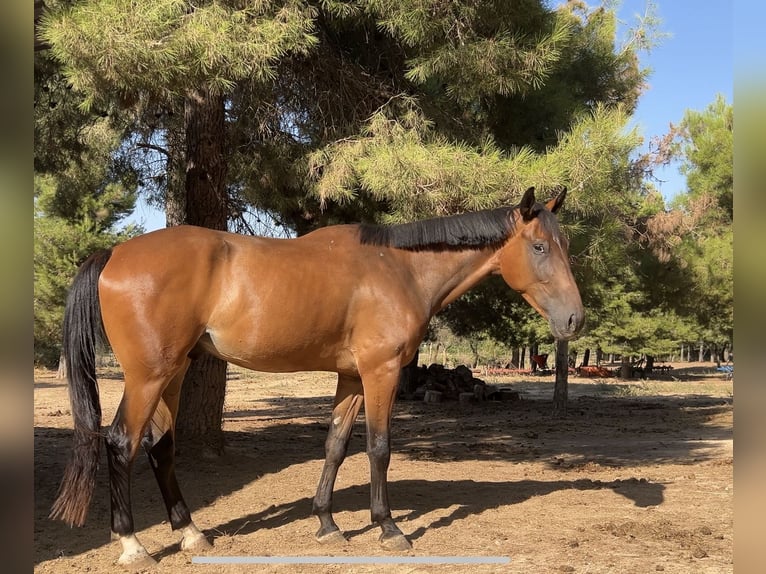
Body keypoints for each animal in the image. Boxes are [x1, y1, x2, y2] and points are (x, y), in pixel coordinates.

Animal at [50, 186, 584, 567]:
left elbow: (335, 445)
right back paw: (132, 545)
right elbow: (379, 448)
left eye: (565, 245)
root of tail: (115, 253)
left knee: (161, 445)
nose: (575, 319)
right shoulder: (380, 373)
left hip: (174, 373)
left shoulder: (351, 378)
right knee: (121, 442)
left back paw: (192, 534)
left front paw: (327, 523)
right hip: (148, 377)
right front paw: (388, 527)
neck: (397, 269)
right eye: (539, 246)